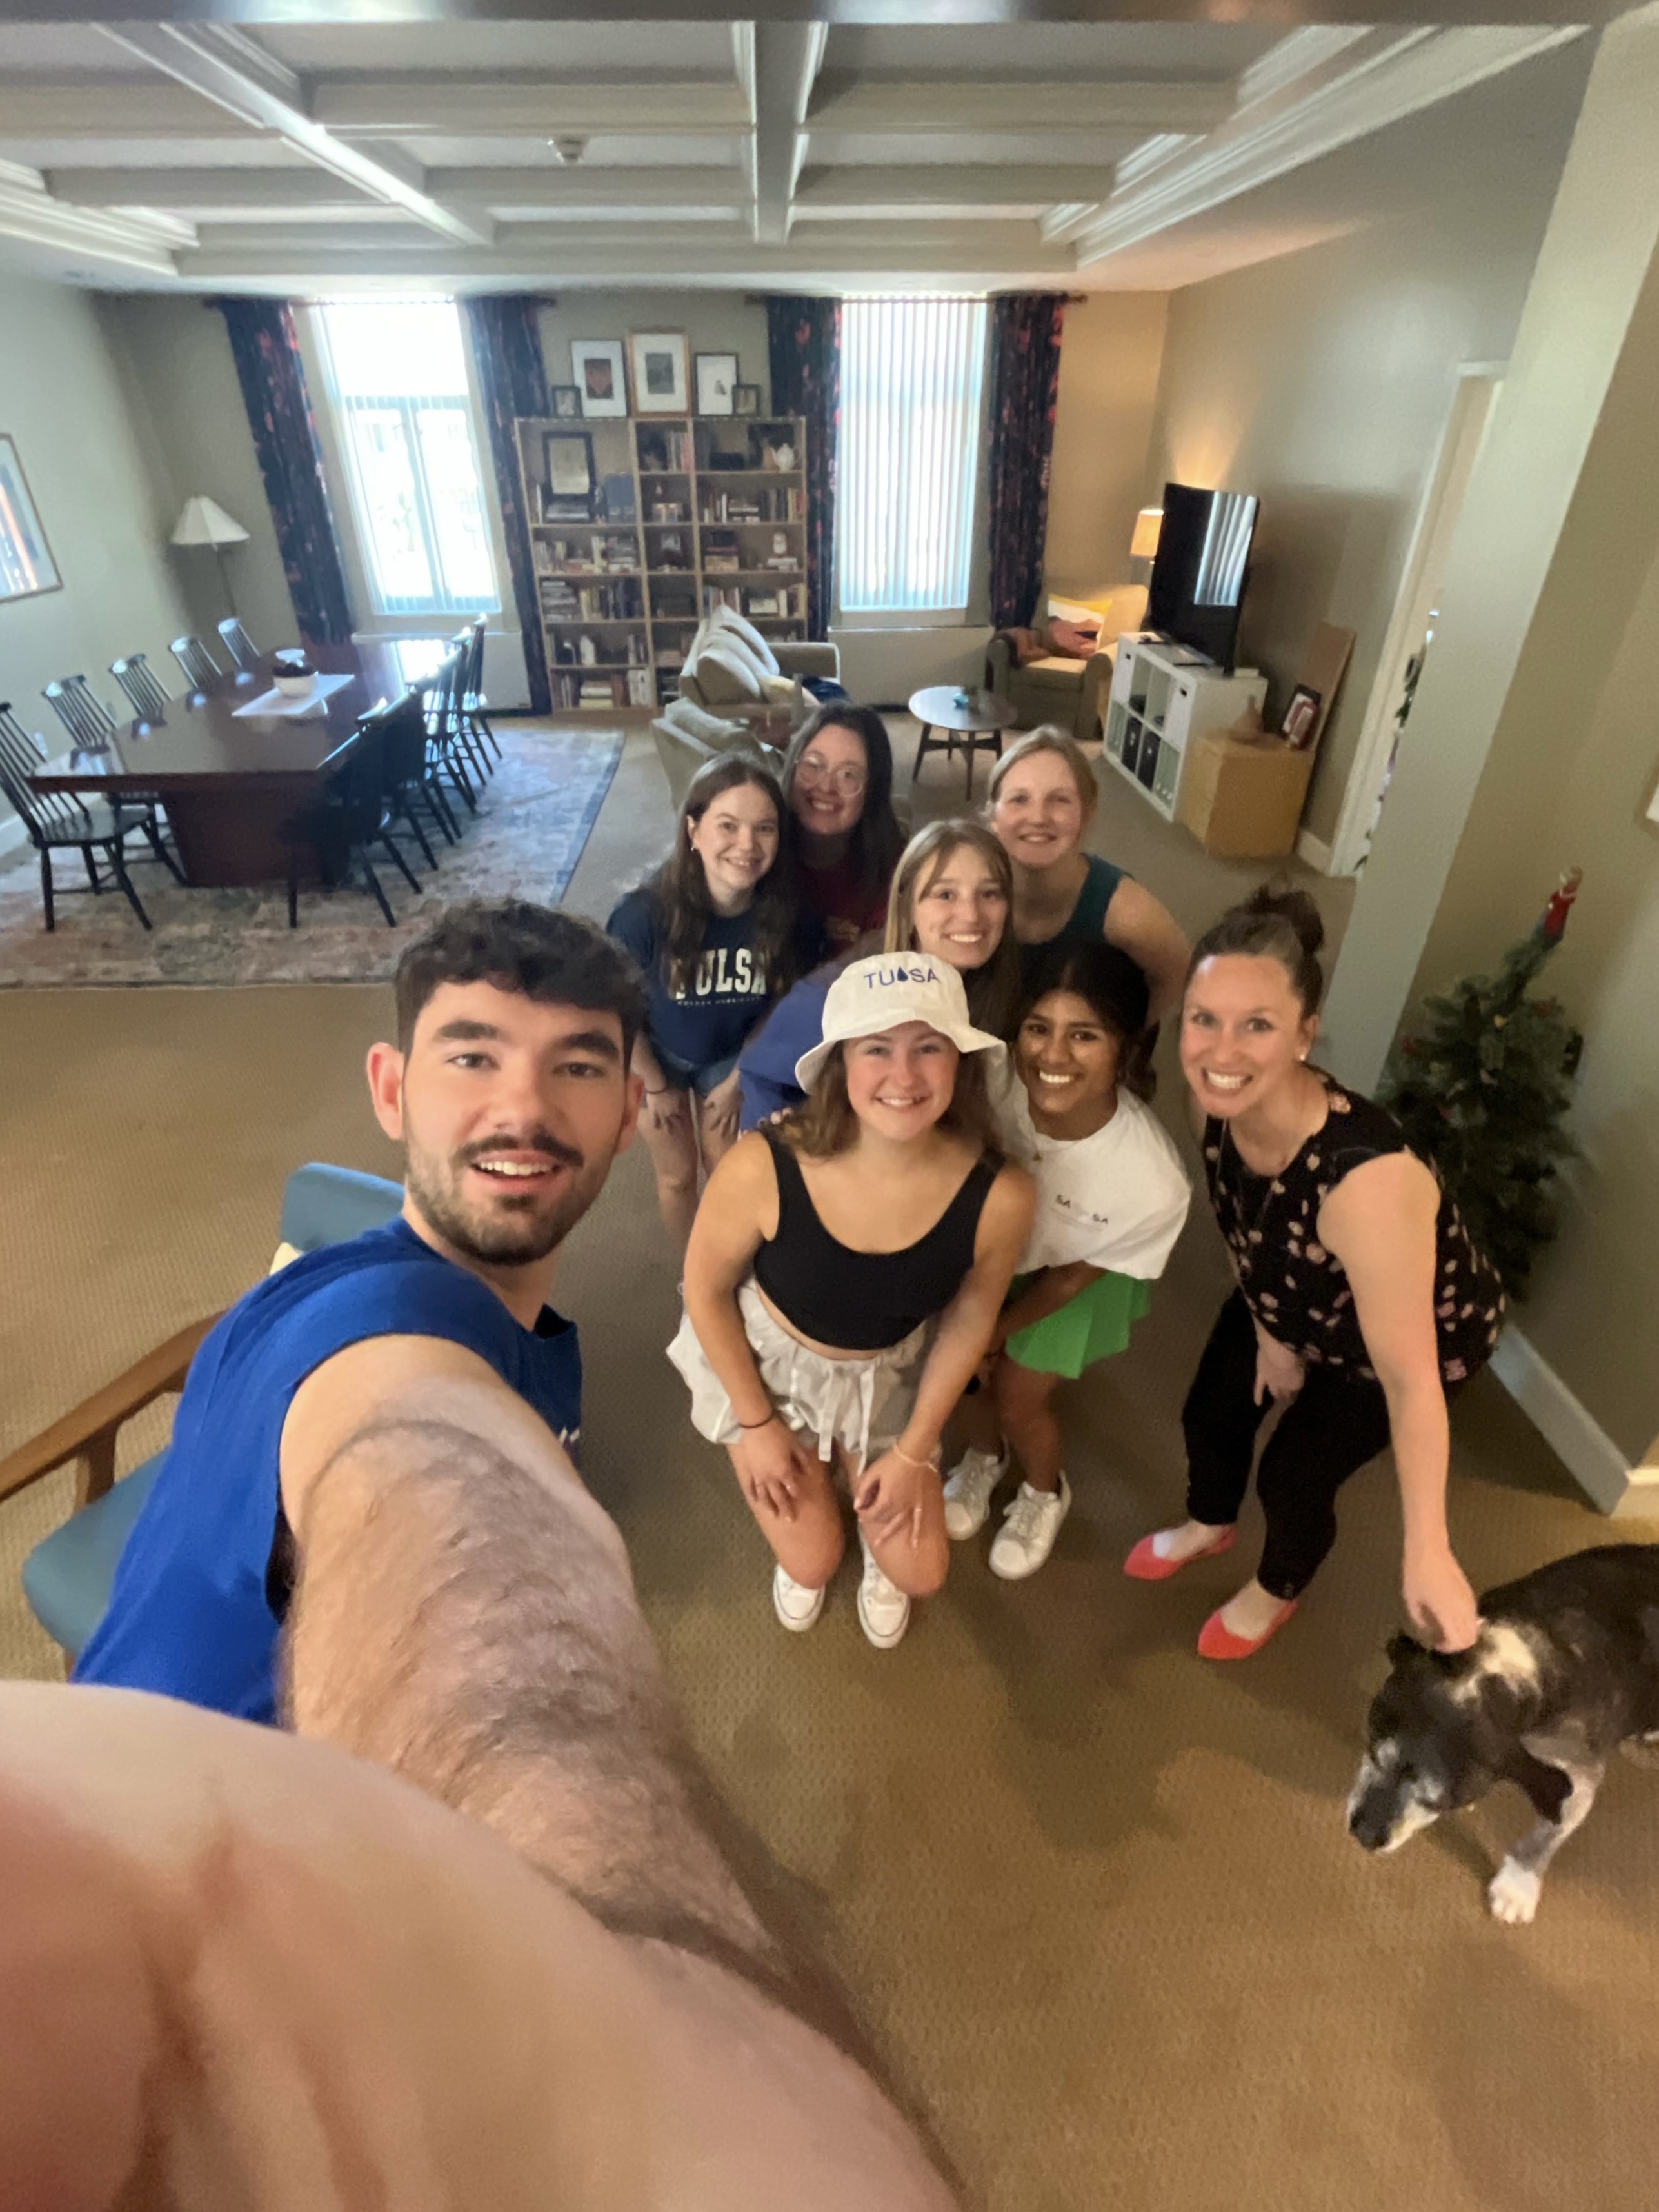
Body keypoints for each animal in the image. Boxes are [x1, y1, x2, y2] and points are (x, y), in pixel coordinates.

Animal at [1347, 1545, 1659, 1923]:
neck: (1501, 1675)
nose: (1364, 1834)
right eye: (1373, 1751)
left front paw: (1517, 1886)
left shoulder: (1579, 1772)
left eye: (1438, 1801)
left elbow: (1549, 1833)